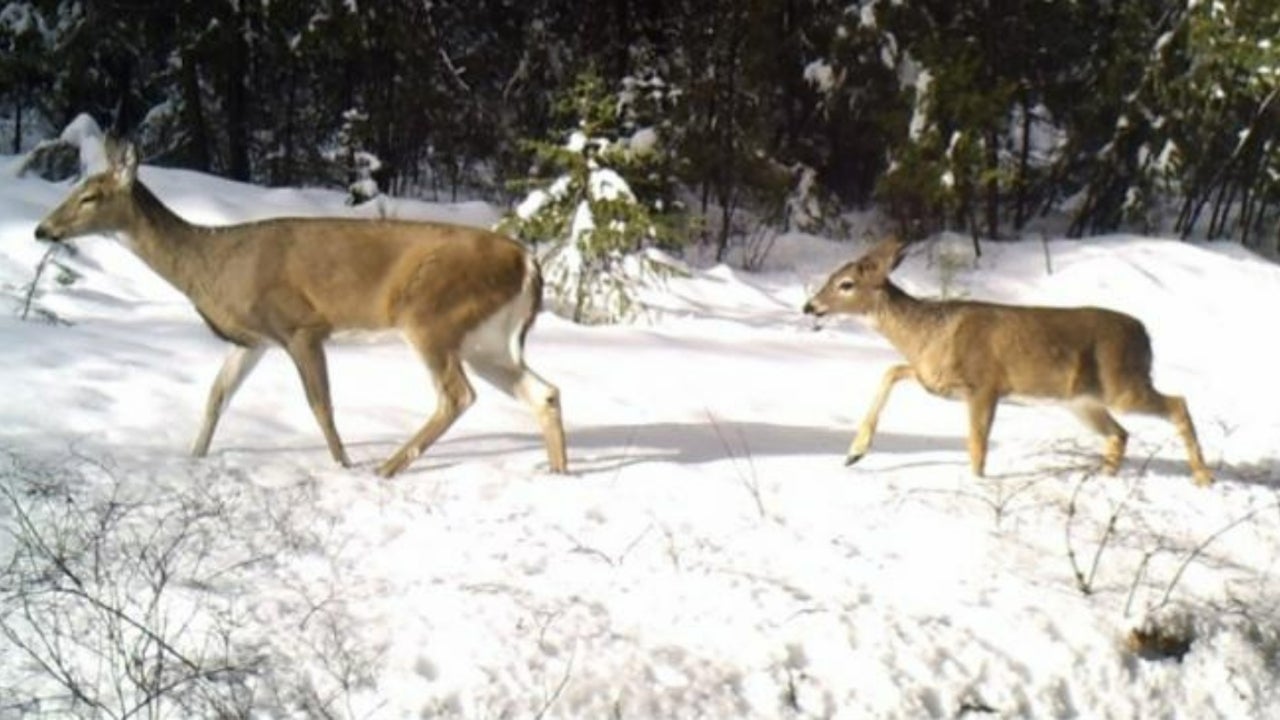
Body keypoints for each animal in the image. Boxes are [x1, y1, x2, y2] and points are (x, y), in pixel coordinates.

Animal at [33, 140, 568, 478]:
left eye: (90, 195)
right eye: (73, 188)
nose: (42, 230)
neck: (213, 263)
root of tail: (527, 261)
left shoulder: (301, 326)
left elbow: (320, 405)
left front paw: (343, 466)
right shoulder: (255, 340)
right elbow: (216, 396)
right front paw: (194, 459)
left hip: (431, 315)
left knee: (457, 395)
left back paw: (386, 468)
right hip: (485, 338)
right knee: (543, 392)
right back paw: (557, 471)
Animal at [802, 237, 1213, 486]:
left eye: (846, 284)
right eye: (832, 276)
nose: (810, 306)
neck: (927, 334)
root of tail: (1145, 334)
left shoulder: (985, 384)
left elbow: (977, 442)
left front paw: (977, 483)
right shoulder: (933, 379)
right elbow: (891, 371)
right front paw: (854, 453)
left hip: (1122, 384)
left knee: (1178, 403)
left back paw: (1203, 477)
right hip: (1082, 401)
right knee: (1120, 433)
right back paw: (1105, 479)